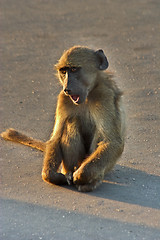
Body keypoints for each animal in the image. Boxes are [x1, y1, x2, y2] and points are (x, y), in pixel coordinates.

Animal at [0, 45, 125, 191]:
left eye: (74, 69)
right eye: (64, 72)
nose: (67, 88)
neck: (88, 95)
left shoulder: (104, 96)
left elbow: (112, 141)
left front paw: (81, 175)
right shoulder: (63, 99)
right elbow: (56, 138)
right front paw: (52, 176)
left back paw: (90, 182)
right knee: (71, 122)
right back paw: (69, 172)